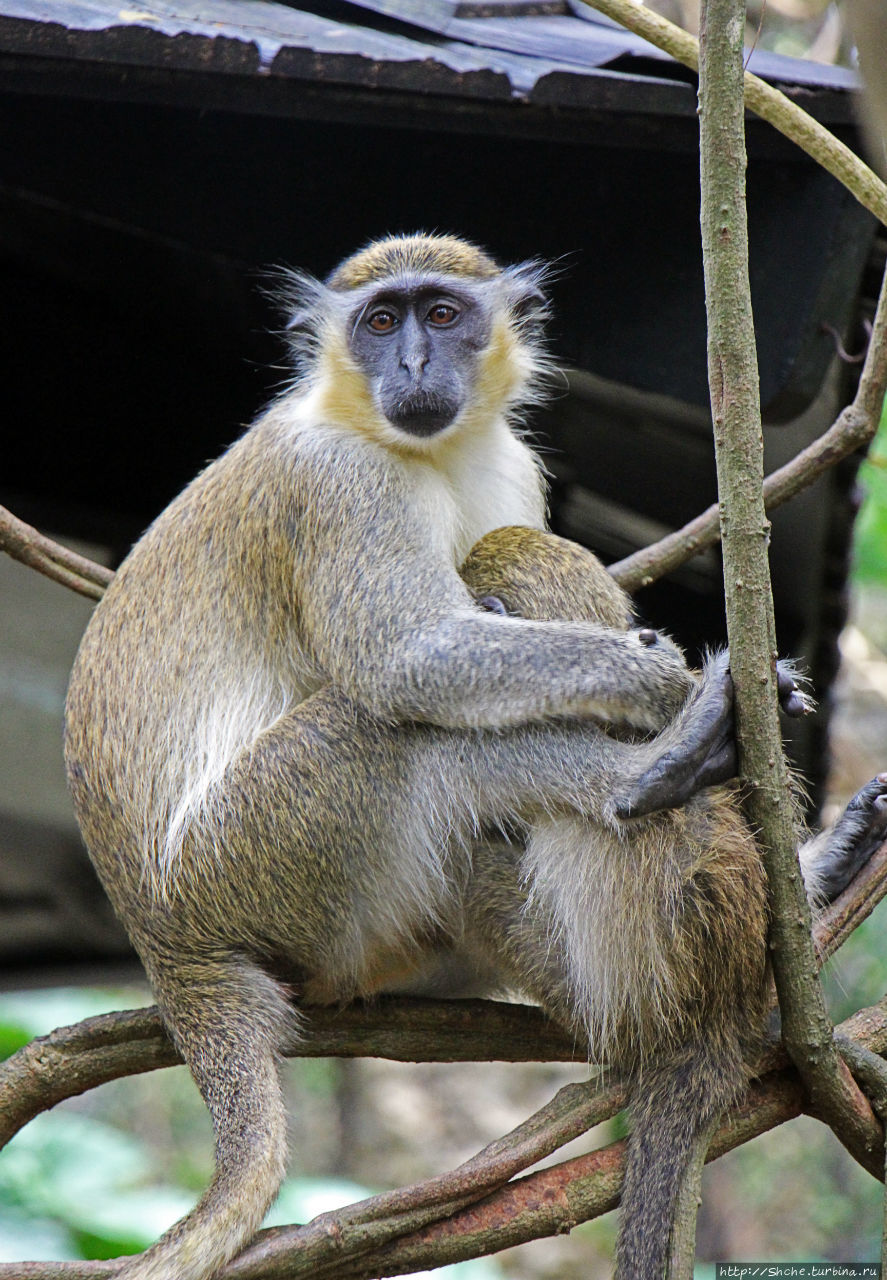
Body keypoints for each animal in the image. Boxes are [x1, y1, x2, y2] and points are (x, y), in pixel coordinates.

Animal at [63, 232, 885, 1280]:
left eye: (443, 315)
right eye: (380, 321)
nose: (413, 362)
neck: (426, 451)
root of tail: (163, 942)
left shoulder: (508, 464)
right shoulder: (340, 482)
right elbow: (404, 658)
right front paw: (664, 686)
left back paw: (794, 886)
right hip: (250, 857)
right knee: (404, 724)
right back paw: (648, 780)